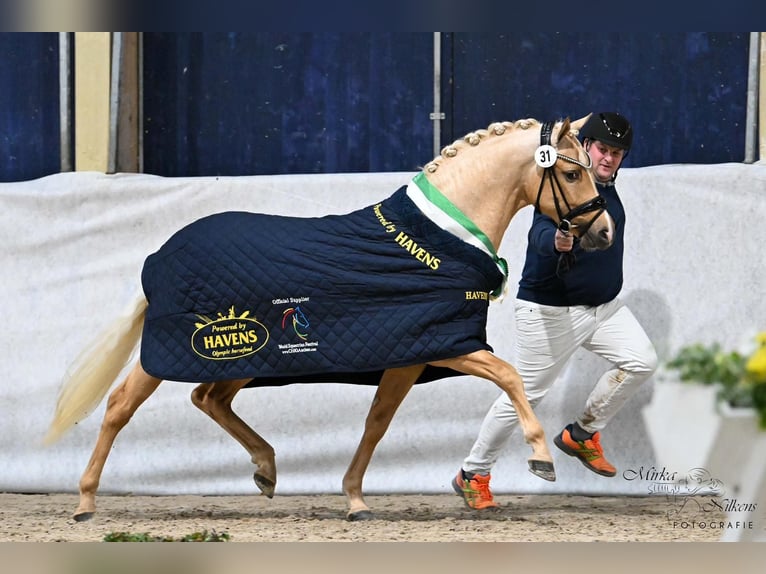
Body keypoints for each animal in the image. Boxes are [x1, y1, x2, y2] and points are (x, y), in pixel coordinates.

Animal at [44, 115, 614, 521]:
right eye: (570, 172)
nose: (604, 232)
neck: (436, 241)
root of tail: (159, 255)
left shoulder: (410, 356)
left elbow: (377, 423)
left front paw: (355, 499)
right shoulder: (449, 345)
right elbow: (510, 377)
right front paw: (541, 458)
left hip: (246, 359)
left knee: (208, 398)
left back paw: (266, 471)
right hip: (172, 354)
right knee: (120, 405)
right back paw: (85, 503)